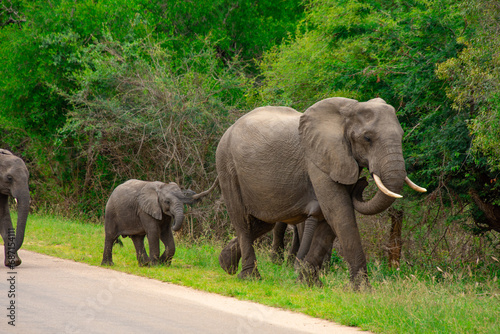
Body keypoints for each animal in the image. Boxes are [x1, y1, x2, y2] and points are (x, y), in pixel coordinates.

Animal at [216, 96, 426, 288]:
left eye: (401, 136)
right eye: (367, 138)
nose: (364, 182)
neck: (349, 111)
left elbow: (330, 218)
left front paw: (308, 284)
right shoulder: (319, 160)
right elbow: (339, 212)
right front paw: (362, 290)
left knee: (262, 222)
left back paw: (225, 264)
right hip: (227, 165)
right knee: (242, 220)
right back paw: (250, 277)